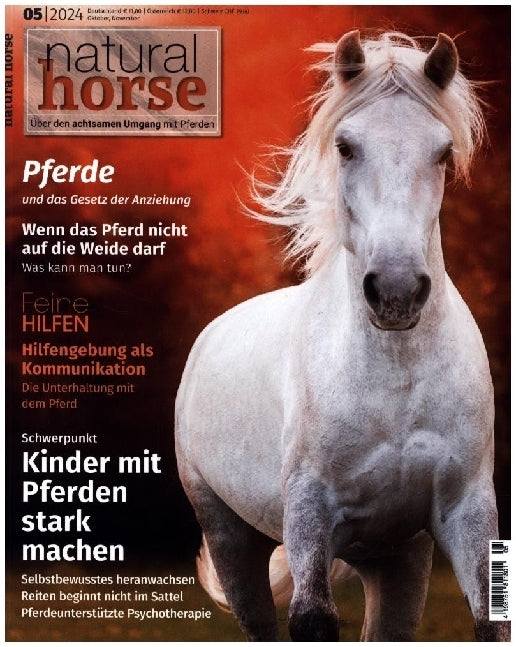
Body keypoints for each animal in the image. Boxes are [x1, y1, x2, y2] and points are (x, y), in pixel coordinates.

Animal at [175, 31, 509, 641]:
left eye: (442, 152)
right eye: (347, 147)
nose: (397, 291)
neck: (395, 383)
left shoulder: (465, 511)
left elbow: (490, 623)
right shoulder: (310, 515)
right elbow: (312, 620)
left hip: (399, 563)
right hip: (231, 539)